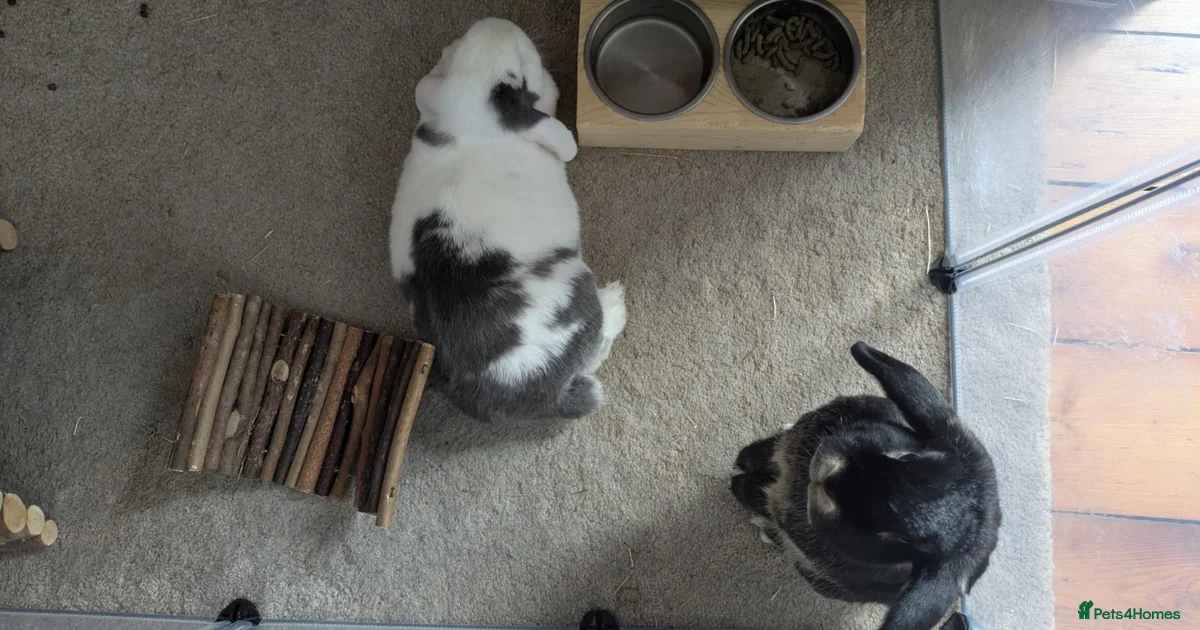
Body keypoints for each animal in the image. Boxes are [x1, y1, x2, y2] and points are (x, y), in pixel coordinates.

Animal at [389, 18, 627, 423]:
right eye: (522, 74)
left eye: (454, 48)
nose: (496, 23)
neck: (471, 124)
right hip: (575, 282)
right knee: (597, 347)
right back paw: (615, 302)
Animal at [731, 342, 1000, 630]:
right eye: (907, 456)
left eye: (897, 537)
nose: (829, 475)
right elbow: (766, 450)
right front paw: (742, 461)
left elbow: (756, 492)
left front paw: (740, 484)